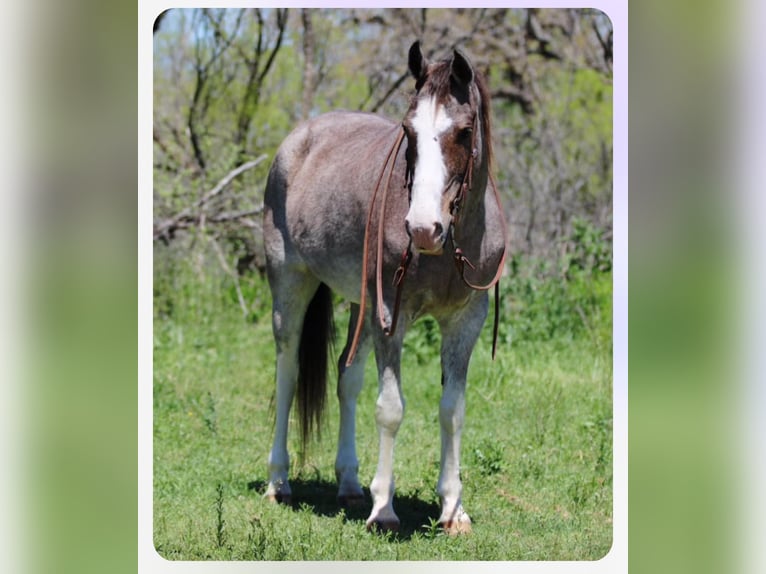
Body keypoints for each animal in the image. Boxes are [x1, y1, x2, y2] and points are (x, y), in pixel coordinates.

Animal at [260, 40, 508, 536]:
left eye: (464, 132)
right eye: (408, 131)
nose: (423, 229)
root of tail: (299, 139)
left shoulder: (466, 321)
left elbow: (452, 410)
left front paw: (453, 510)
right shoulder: (391, 316)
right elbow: (391, 408)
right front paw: (384, 510)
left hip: (360, 304)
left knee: (346, 377)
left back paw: (349, 484)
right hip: (291, 285)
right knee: (288, 373)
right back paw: (279, 482)